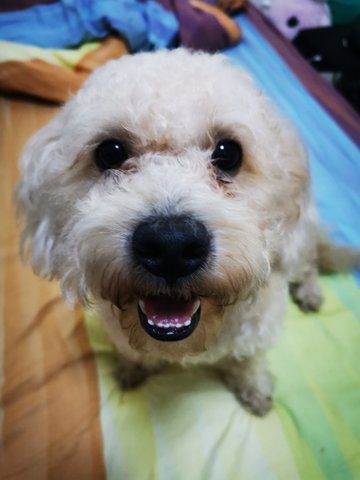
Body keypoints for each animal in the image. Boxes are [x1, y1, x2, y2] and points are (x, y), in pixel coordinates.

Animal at [14, 47, 358, 416]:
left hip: (301, 237)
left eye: (229, 153)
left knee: (308, 261)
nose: (171, 246)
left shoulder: (257, 328)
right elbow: (132, 352)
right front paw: (132, 367)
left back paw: (310, 291)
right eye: (110, 152)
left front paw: (254, 388)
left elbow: (247, 360)